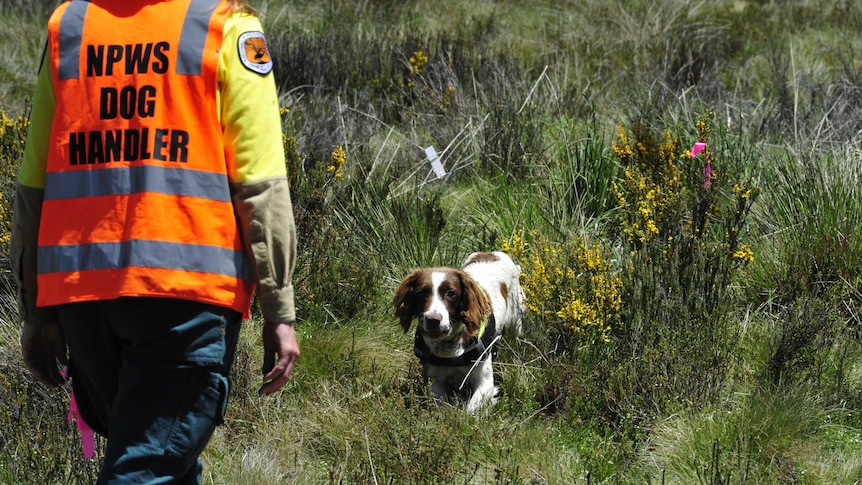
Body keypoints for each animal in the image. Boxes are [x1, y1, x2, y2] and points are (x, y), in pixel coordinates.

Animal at [394, 250, 528, 412]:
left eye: (451, 293)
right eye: (421, 292)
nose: (433, 320)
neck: (449, 346)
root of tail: (492, 253)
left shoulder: (485, 382)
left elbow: (470, 410)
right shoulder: (434, 380)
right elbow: (442, 406)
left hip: (516, 319)